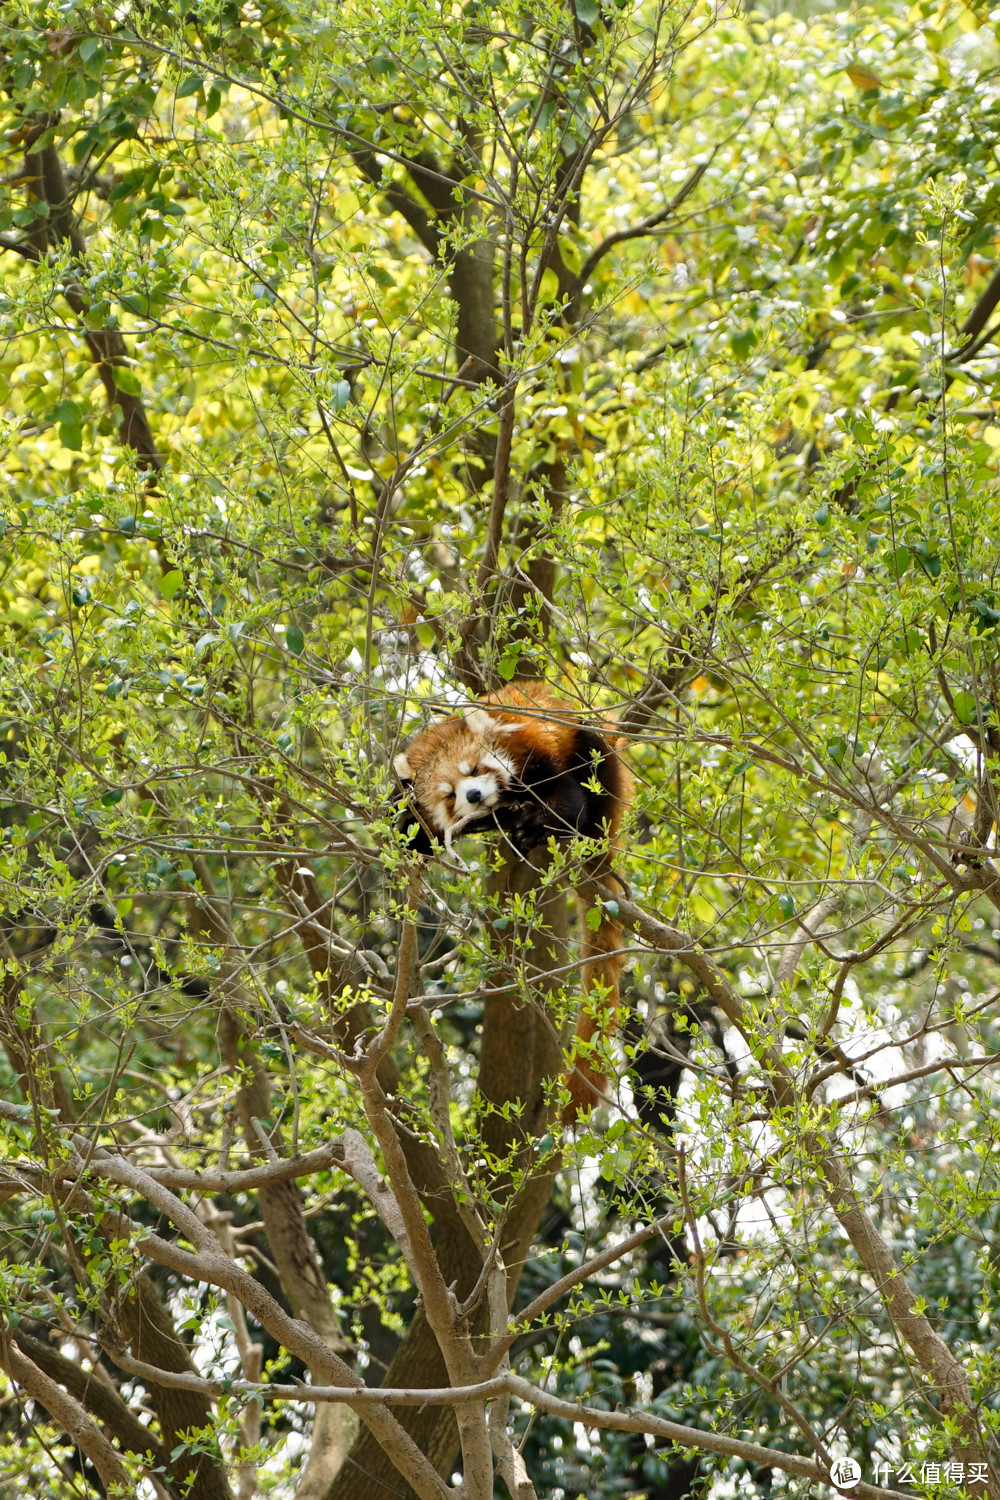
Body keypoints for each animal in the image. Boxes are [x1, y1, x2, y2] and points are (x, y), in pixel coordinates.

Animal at [392, 681, 632, 1116]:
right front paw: (408, 833)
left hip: (601, 758)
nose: (473, 795)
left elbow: (565, 792)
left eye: (473, 770)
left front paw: (542, 821)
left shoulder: (536, 745)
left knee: (593, 765)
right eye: (450, 796)